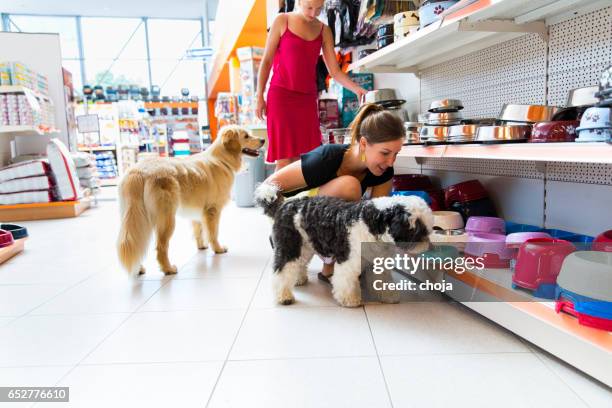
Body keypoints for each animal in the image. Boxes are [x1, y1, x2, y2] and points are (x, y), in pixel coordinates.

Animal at [117, 126, 262, 276]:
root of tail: (138, 171)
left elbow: (199, 231)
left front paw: (202, 246)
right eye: (246, 136)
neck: (222, 159)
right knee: (161, 246)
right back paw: (168, 268)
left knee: (136, 240)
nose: (263, 140)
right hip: (167, 218)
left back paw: (138, 269)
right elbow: (213, 233)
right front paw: (218, 249)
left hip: (136, 217)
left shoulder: (198, 211)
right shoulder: (213, 210)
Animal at [255, 183, 436, 308]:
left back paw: (299, 280)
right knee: (282, 270)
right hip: (289, 246)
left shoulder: (377, 263)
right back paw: (284, 296)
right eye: (419, 231)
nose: (429, 247)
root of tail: (284, 204)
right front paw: (350, 300)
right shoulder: (349, 261)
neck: (372, 222)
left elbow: (383, 281)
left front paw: (388, 296)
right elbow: (346, 281)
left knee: (298, 264)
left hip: (304, 246)